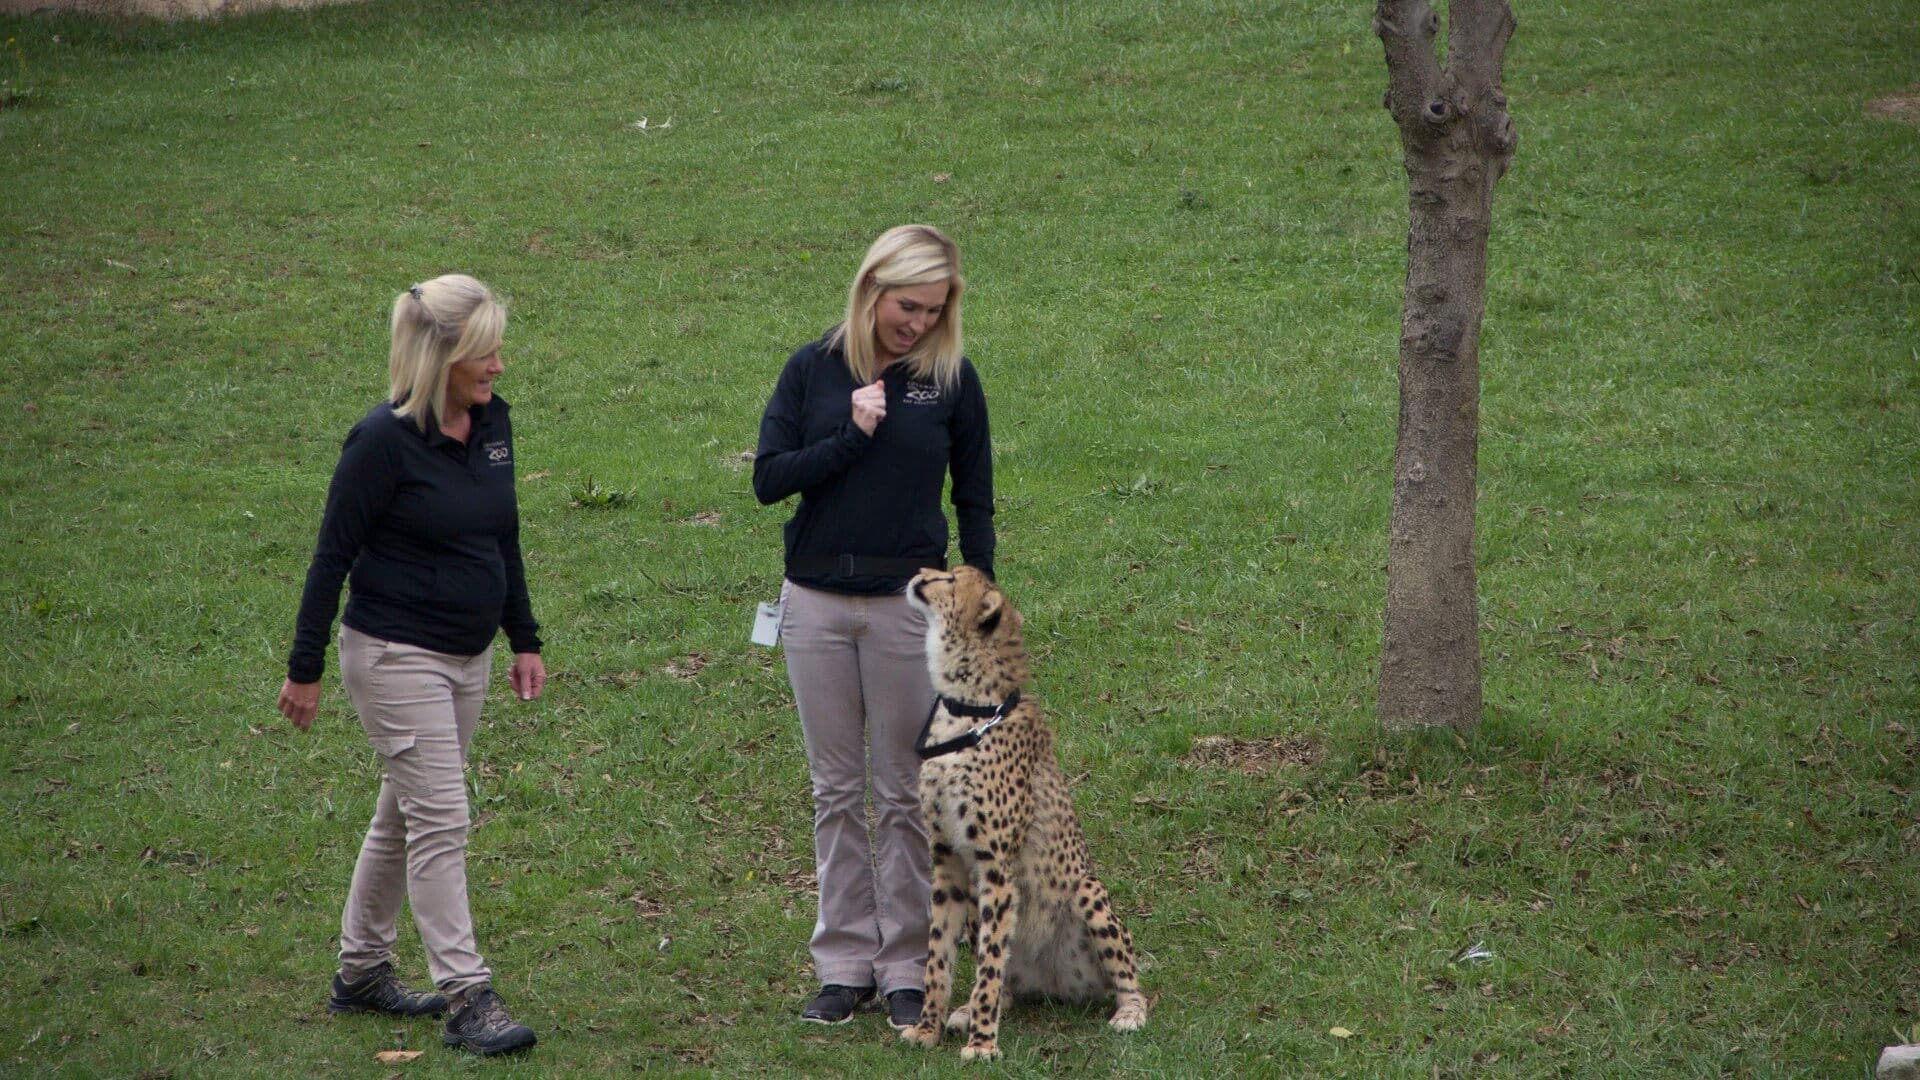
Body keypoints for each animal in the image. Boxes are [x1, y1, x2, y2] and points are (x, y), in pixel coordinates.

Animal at [900, 565, 1148, 1061]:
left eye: (950, 579)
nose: (920, 573)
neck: (966, 705)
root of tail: (1052, 984)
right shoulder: (948, 860)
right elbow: (938, 955)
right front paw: (927, 1028)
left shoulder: (996, 867)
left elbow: (990, 964)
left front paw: (982, 1044)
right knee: (1004, 981)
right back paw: (969, 1011)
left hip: (1086, 890)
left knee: (1129, 979)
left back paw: (1129, 1011)